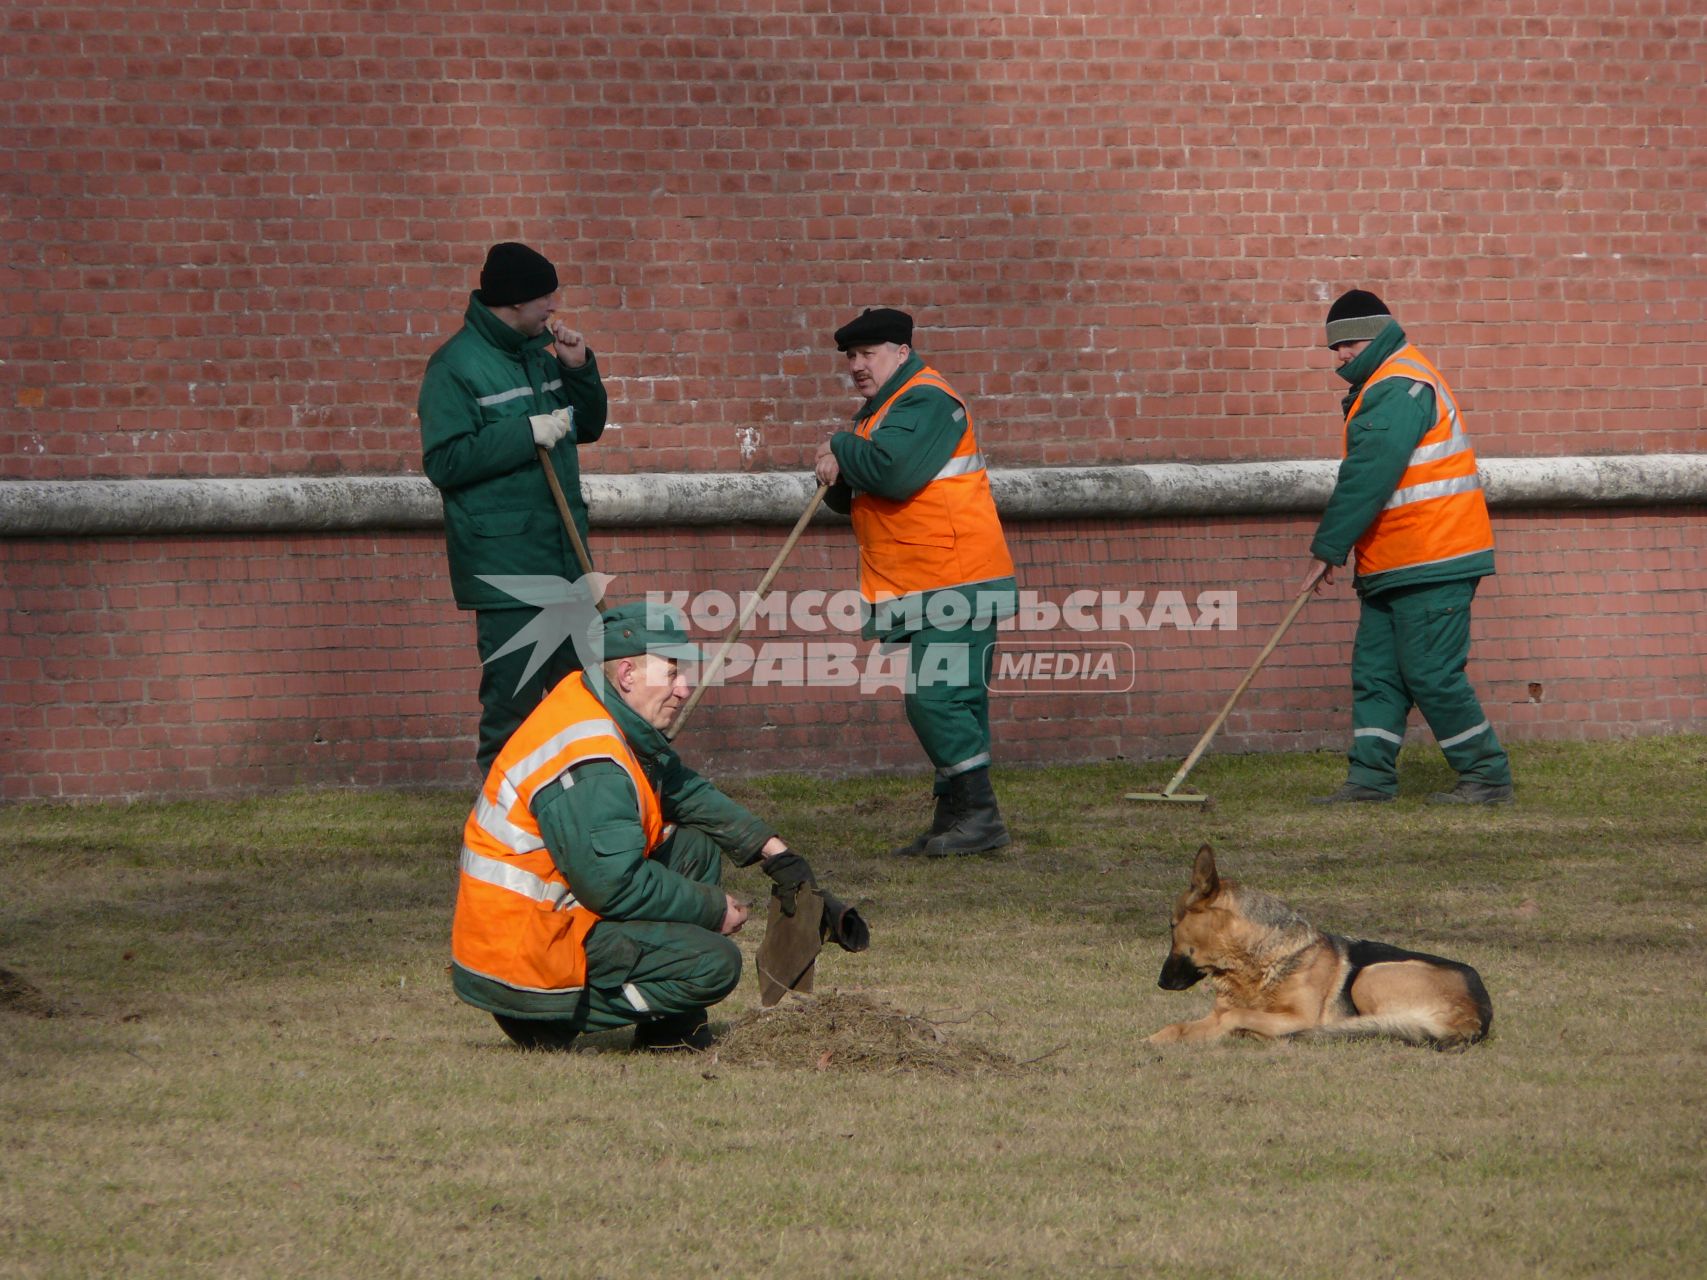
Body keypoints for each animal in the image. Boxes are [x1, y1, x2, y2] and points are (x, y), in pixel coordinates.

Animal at [1147, 843, 1495, 1051]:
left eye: (1171, 925)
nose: (1161, 982)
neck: (1255, 961)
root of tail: (1478, 1016)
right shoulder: (1216, 1013)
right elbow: (1178, 1027)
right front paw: (1152, 1040)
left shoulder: (1299, 1018)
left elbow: (1234, 1016)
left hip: (1369, 976)